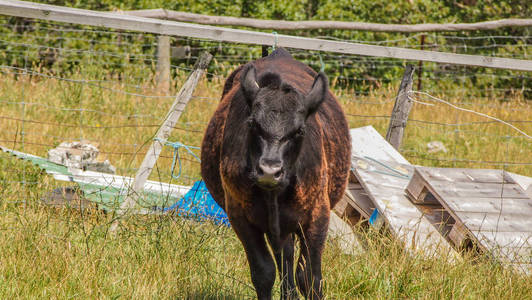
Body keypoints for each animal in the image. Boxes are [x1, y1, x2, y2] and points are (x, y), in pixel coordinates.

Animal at [202, 48, 352, 298]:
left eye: (299, 130)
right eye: (252, 124)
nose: (269, 171)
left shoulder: (318, 215)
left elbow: (310, 277)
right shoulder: (240, 217)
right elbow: (264, 272)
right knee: (285, 257)